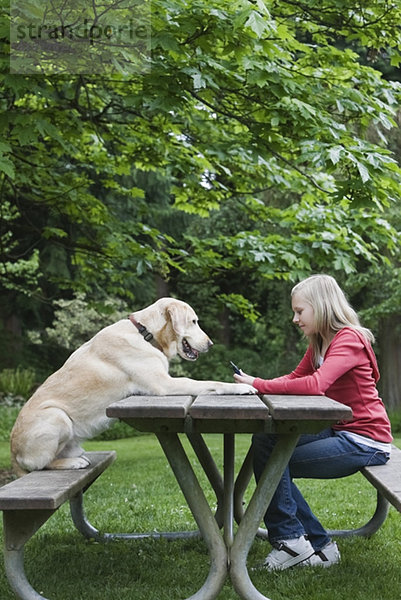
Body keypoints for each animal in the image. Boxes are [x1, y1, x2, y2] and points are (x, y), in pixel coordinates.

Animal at [10, 298, 255, 476]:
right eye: (194, 321)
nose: (211, 344)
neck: (147, 335)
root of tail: (13, 455)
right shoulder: (164, 384)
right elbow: (208, 383)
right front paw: (242, 388)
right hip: (57, 416)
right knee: (41, 465)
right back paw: (72, 463)